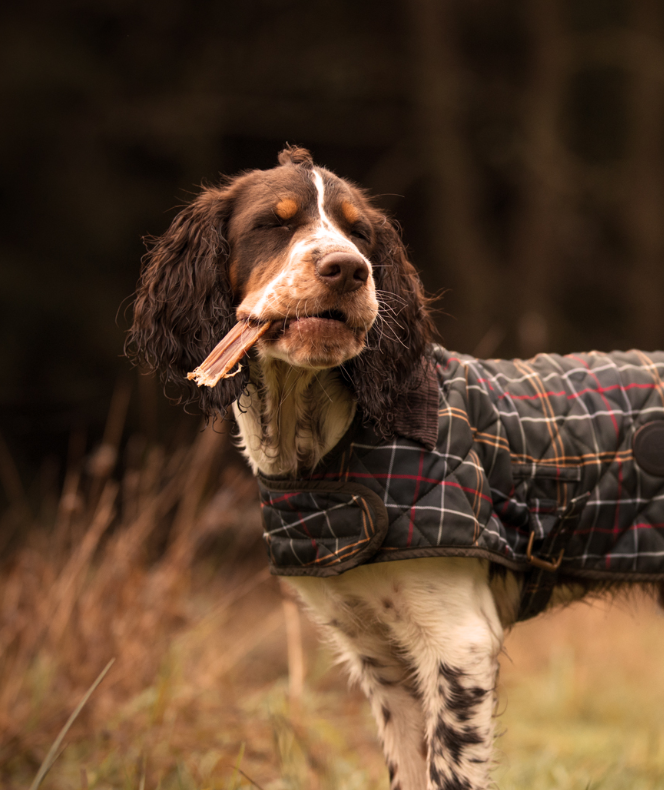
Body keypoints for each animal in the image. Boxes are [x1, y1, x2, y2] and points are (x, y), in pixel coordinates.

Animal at [128, 145, 664, 788]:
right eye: (273, 224)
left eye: (360, 233)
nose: (347, 268)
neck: (329, 446)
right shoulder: (380, 655)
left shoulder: (459, 643)